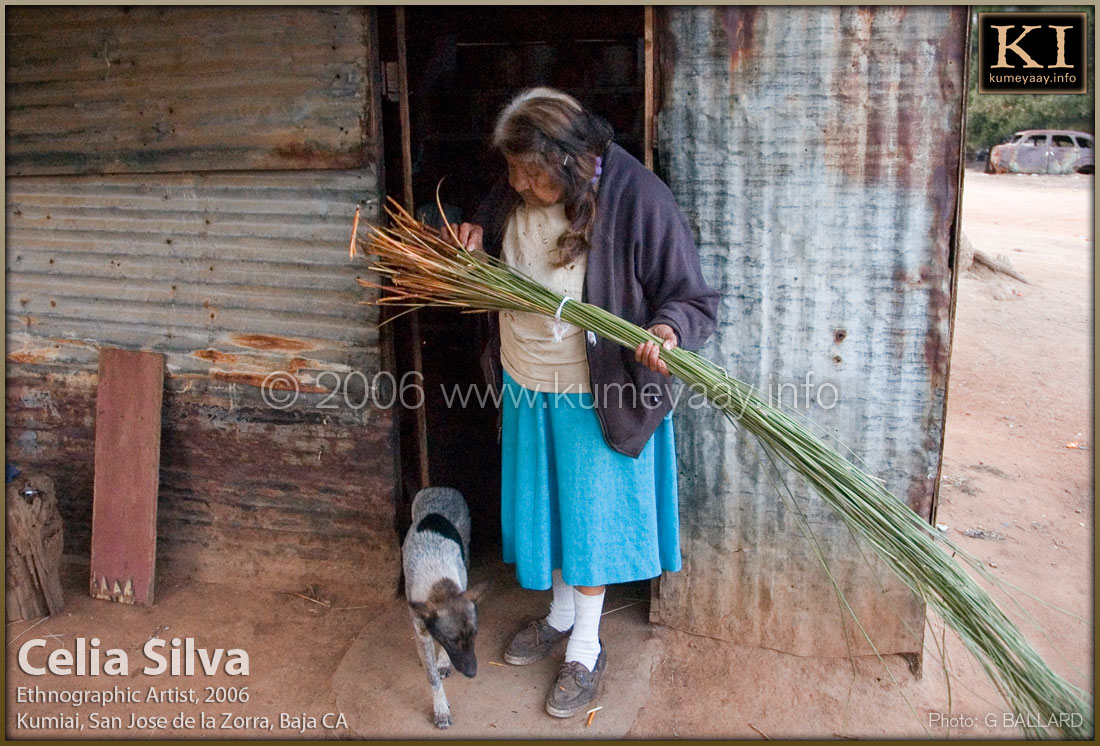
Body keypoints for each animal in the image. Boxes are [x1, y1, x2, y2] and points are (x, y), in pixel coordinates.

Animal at [402, 490, 488, 730]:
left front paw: (442, 661)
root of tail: (441, 487)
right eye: (452, 640)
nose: (472, 673)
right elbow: (432, 678)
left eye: (475, 634)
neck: (439, 585)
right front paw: (440, 709)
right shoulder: (420, 631)